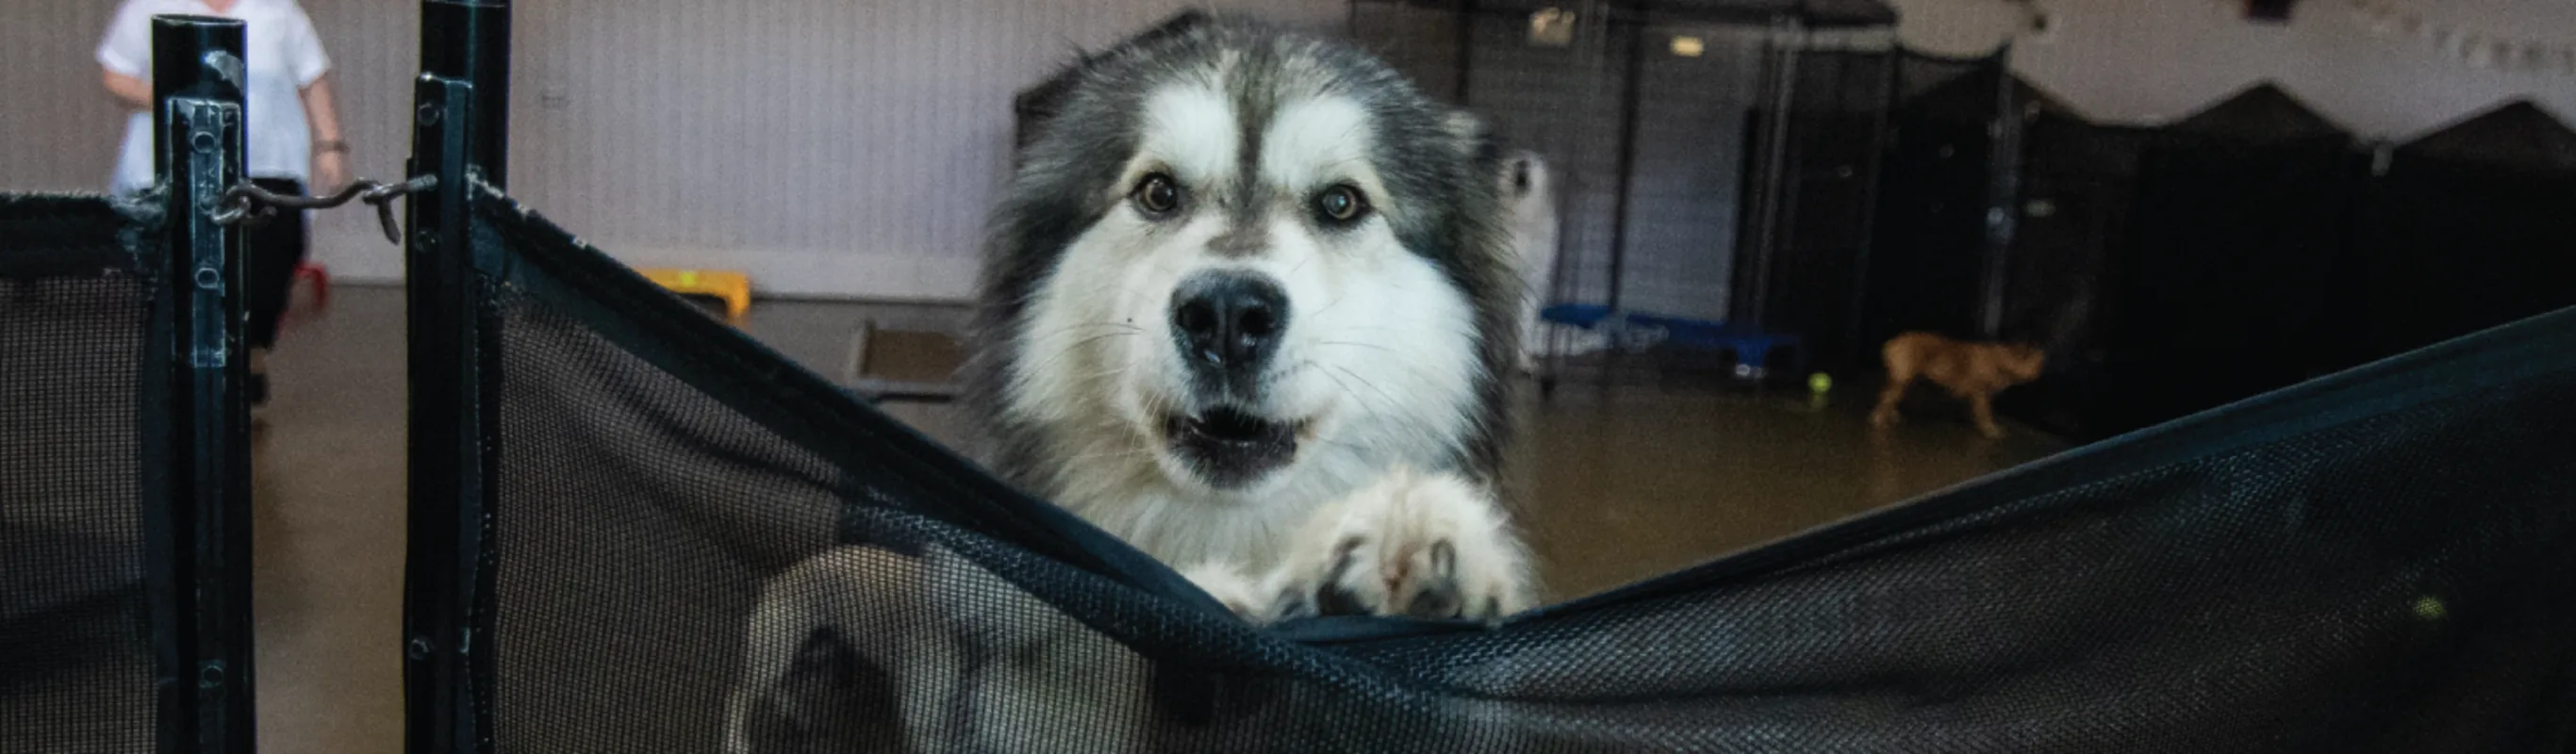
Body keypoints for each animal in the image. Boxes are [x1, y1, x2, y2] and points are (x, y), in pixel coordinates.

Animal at [1874, 332, 2050, 437]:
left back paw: (1892, 415)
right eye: (2035, 364)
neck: (2000, 360)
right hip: (1901, 380)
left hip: (1904, 381)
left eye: (2040, 364)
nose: (2039, 373)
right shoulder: (1981, 393)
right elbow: (1985, 413)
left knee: (1891, 398)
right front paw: (1990, 429)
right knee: (1886, 398)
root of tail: (1890, 344)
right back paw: (1879, 419)